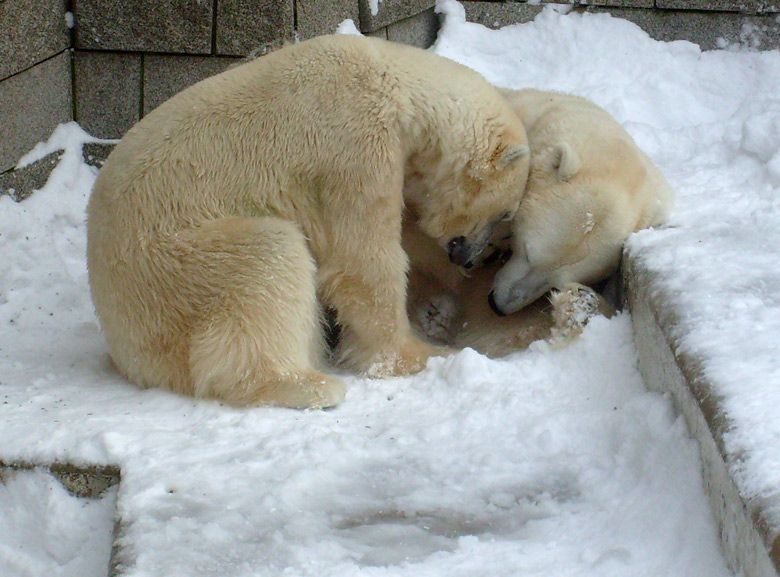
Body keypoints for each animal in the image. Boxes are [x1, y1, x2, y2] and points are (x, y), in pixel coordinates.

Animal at [88, 33, 532, 408]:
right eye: (504, 214)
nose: (470, 258)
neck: (394, 84)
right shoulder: (355, 149)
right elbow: (364, 262)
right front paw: (421, 354)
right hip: (171, 268)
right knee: (266, 259)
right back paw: (309, 385)